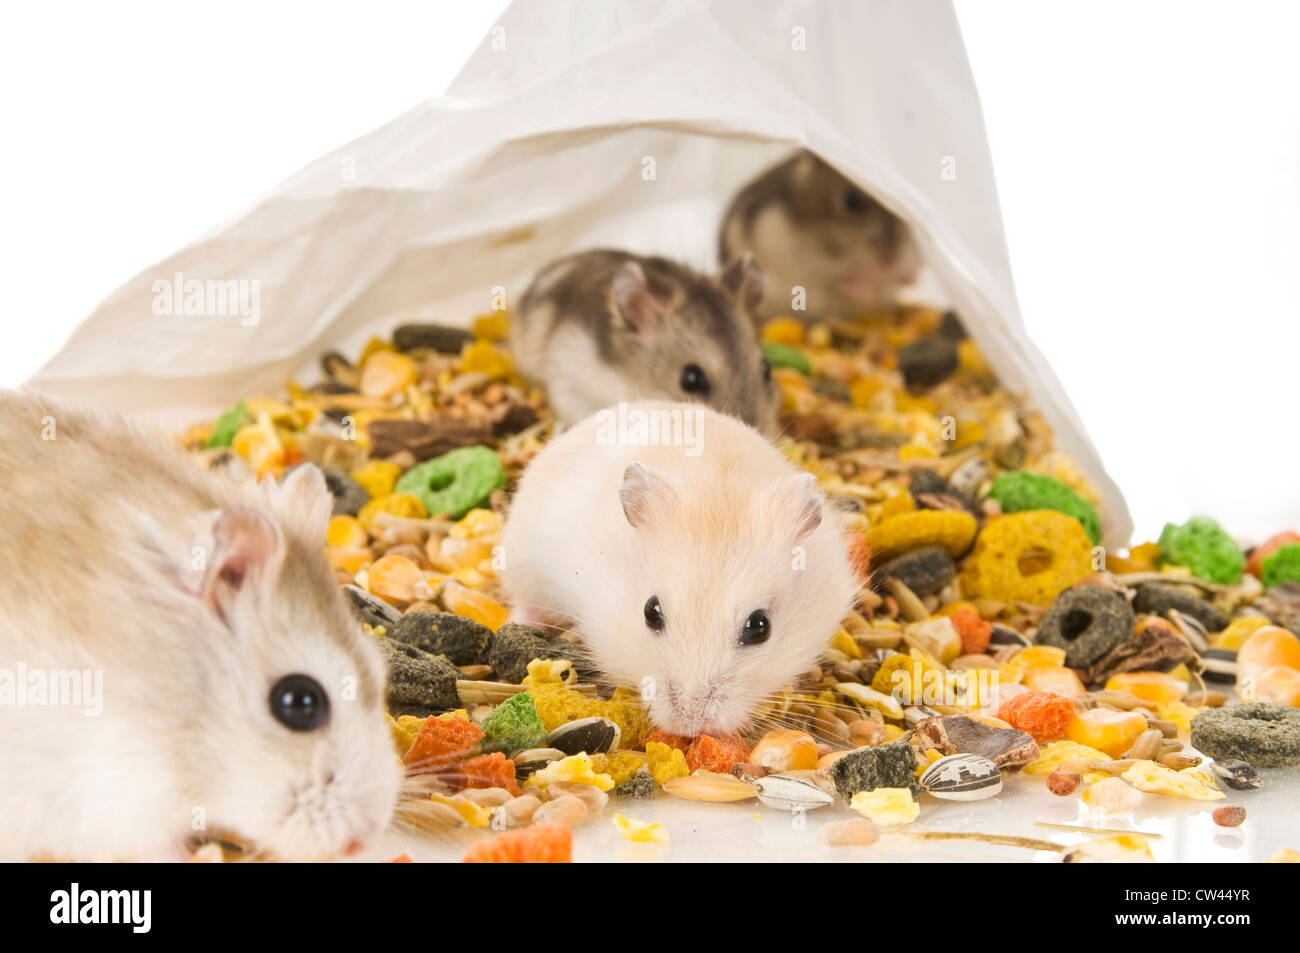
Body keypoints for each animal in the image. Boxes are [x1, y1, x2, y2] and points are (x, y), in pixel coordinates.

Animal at [719, 150, 921, 320]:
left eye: (899, 207)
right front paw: (854, 284)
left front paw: (909, 277)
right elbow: (842, 286)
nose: (891, 260)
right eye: (852, 201)